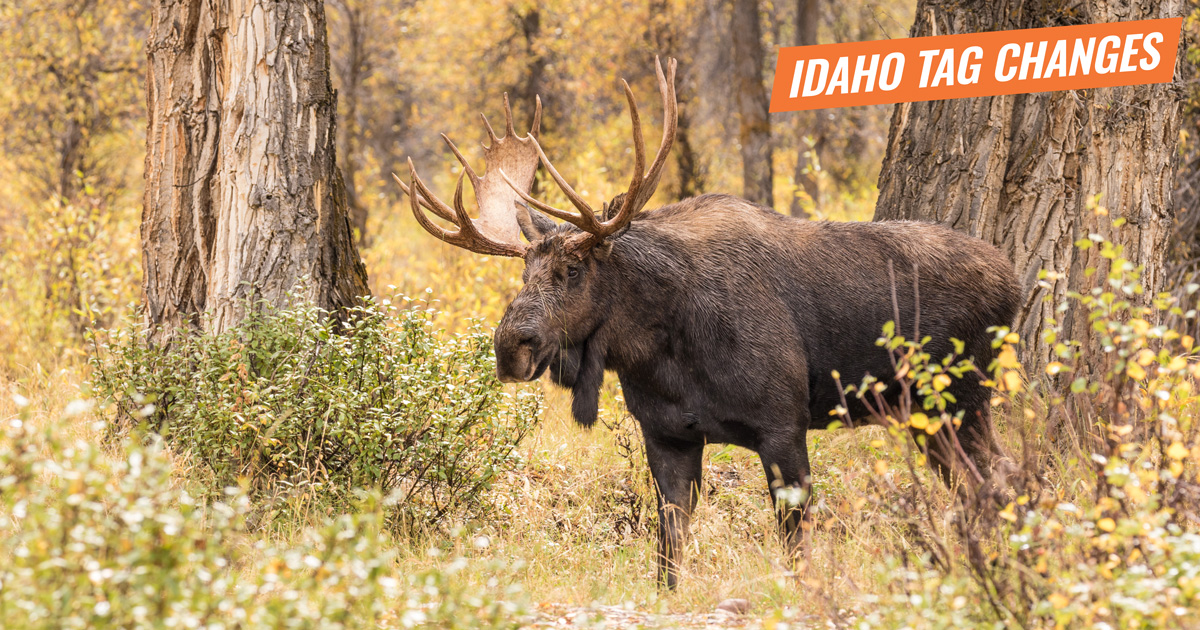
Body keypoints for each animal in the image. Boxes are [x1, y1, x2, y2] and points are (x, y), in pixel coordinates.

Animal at [394, 58, 1020, 589]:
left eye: (572, 269)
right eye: (524, 271)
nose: (510, 346)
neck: (664, 353)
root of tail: (1014, 282)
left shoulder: (783, 424)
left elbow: (795, 546)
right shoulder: (667, 434)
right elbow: (668, 550)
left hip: (962, 400)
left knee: (999, 477)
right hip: (931, 415)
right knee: (986, 484)